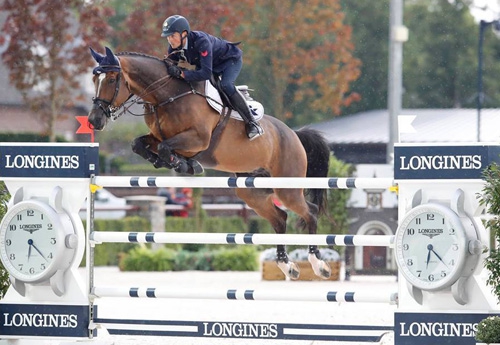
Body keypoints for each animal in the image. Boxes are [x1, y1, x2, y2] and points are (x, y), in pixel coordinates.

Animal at [88, 45, 334, 280]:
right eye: (94, 80)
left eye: (111, 80)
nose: (94, 120)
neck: (168, 94)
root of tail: (294, 134)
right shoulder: (158, 137)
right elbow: (138, 144)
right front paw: (172, 162)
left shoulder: (198, 139)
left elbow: (166, 147)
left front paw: (184, 164)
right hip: (252, 190)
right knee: (281, 219)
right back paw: (287, 265)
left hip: (287, 188)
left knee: (310, 212)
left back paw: (318, 264)